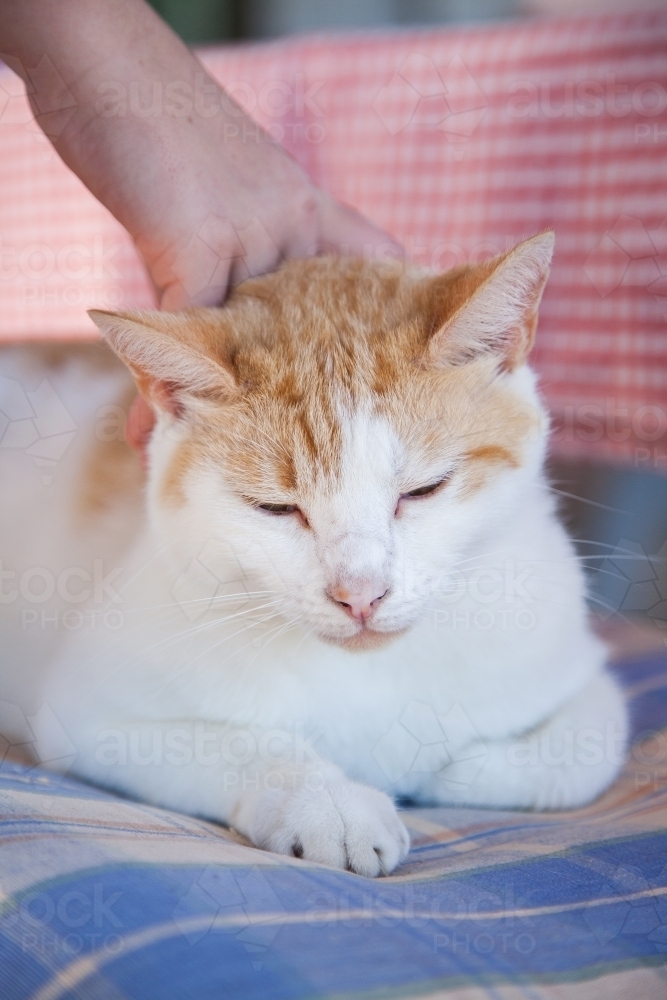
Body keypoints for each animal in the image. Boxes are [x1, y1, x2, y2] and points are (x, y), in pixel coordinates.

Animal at [0, 234, 628, 876]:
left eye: (424, 489)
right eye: (276, 508)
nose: (361, 595)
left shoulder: (573, 667)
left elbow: (588, 750)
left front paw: (453, 771)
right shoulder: (86, 713)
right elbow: (244, 744)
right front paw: (328, 803)